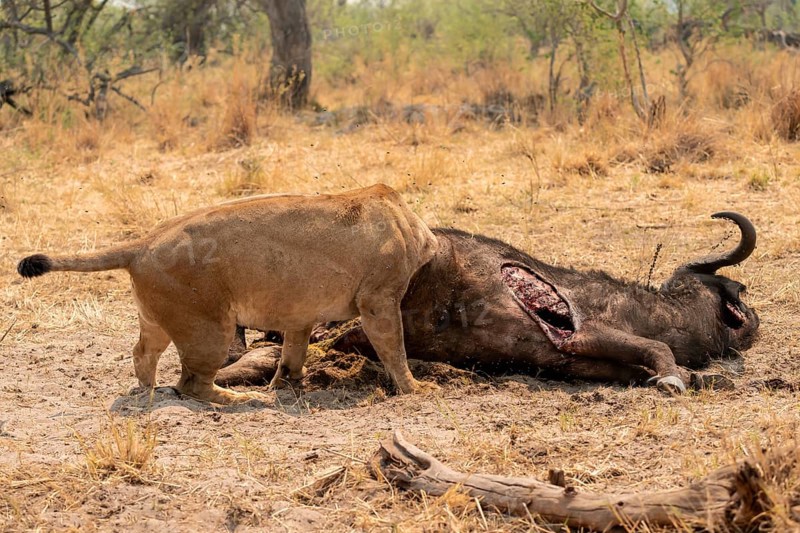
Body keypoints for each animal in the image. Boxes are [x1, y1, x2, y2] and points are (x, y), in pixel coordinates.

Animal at [17, 184, 438, 404]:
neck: (407, 223)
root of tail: (142, 242)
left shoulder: (300, 312)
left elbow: (293, 351)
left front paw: (285, 383)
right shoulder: (378, 299)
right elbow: (395, 349)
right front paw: (416, 388)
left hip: (157, 320)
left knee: (142, 354)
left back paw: (147, 389)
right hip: (210, 328)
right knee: (192, 385)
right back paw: (244, 399)